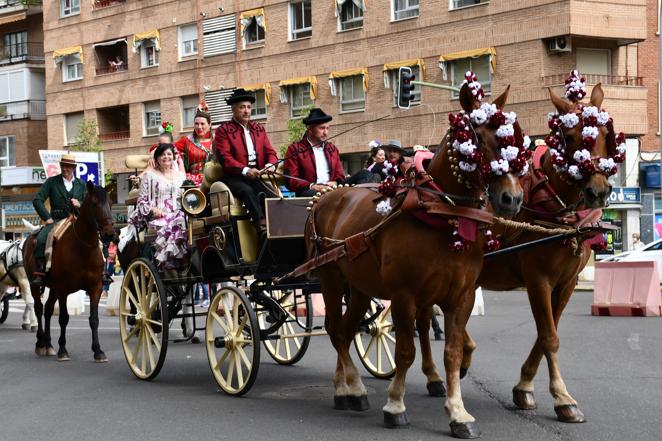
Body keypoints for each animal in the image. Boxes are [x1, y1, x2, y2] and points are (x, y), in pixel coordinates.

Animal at [22, 181, 115, 360]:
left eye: (110, 203)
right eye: (94, 203)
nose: (110, 234)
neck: (83, 248)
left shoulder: (96, 287)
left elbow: (94, 319)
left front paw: (98, 350)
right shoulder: (63, 288)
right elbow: (64, 318)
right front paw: (63, 349)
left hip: (53, 288)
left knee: (48, 309)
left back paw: (49, 344)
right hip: (35, 284)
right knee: (38, 308)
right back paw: (41, 343)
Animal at [310, 80, 528, 436]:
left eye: (518, 140)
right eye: (479, 139)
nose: (512, 198)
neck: (441, 214)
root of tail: (325, 196)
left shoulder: (461, 296)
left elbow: (452, 353)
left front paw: (458, 412)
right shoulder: (404, 295)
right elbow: (405, 350)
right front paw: (395, 405)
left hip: (359, 286)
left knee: (345, 329)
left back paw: (347, 386)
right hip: (329, 277)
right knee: (334, 328)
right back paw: (350, 388)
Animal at [420, 81, 616, 422]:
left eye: (606, 134)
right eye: (569, 136)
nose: (598, 191)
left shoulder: (566, 284)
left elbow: (546, 333)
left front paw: (524, 387)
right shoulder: (538, 280)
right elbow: (549, 336)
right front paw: (562, 397)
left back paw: (463, 356)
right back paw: (434, 375)